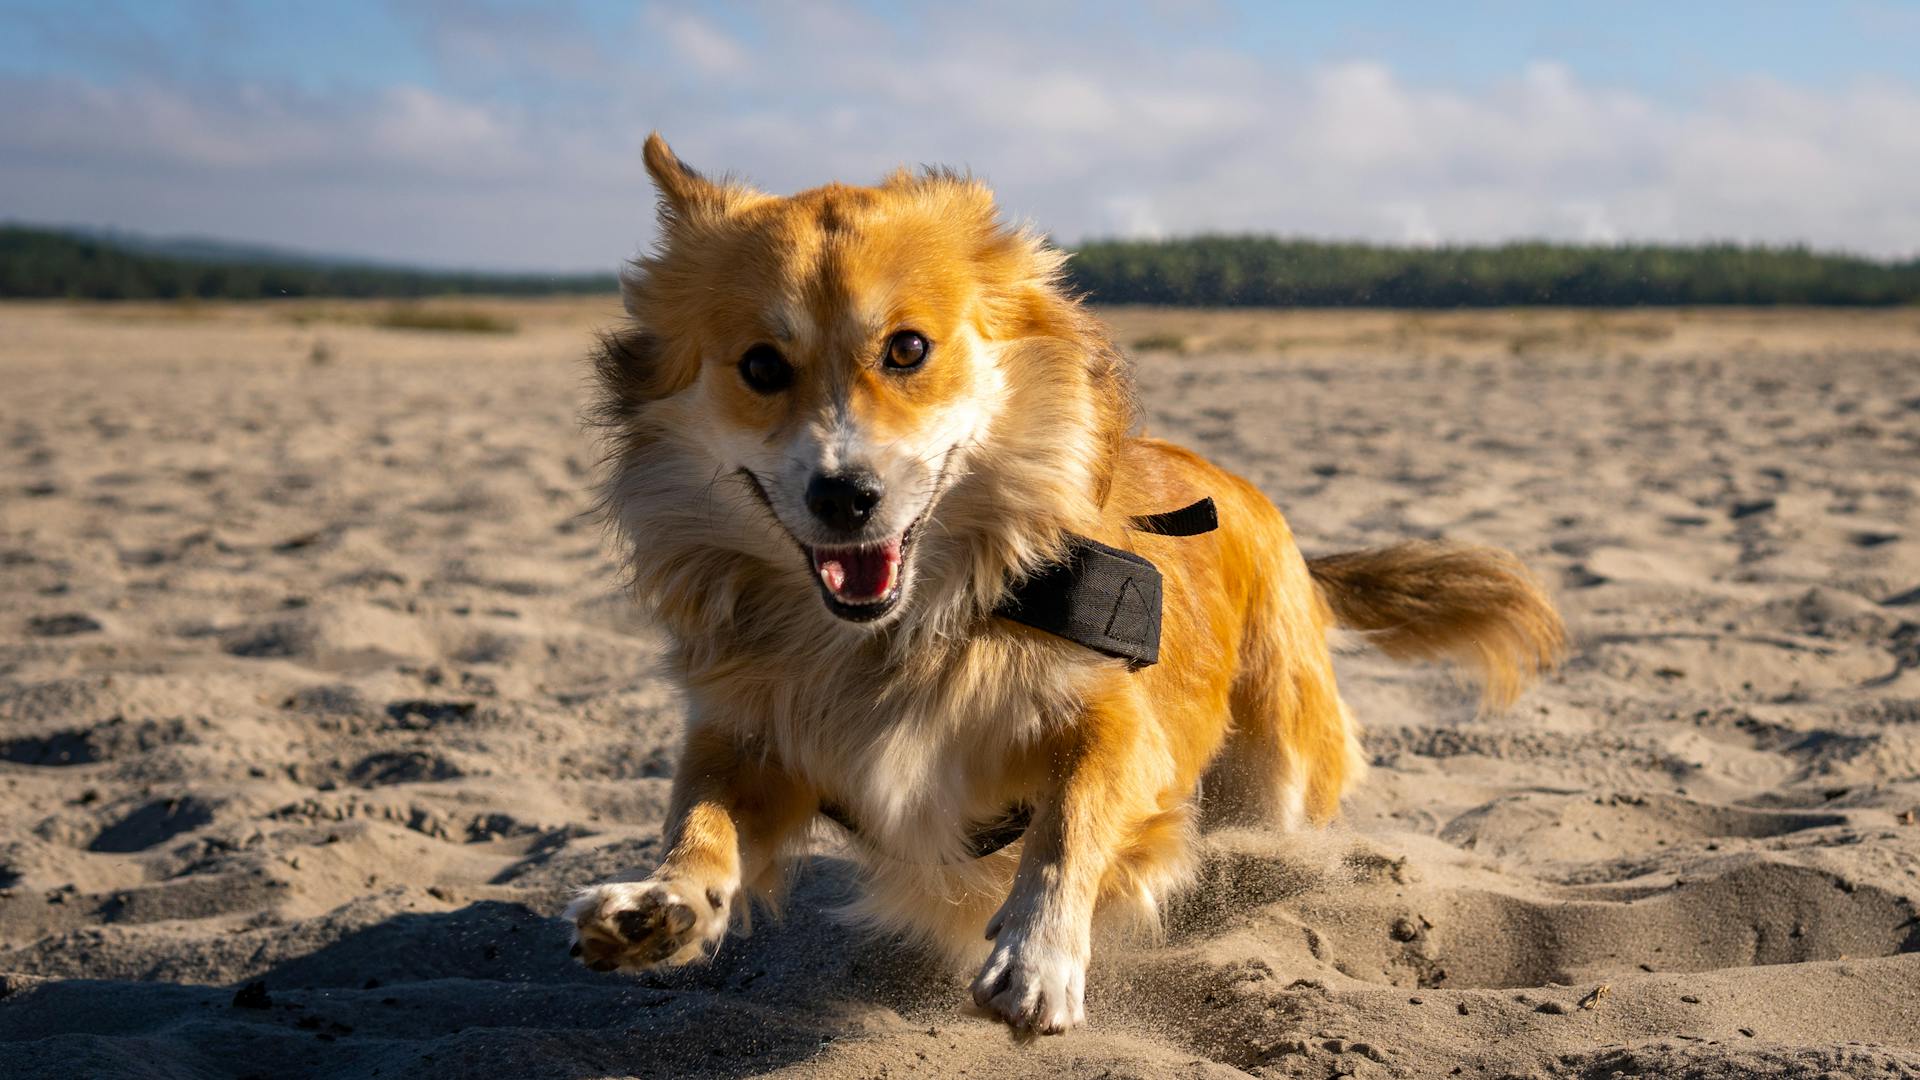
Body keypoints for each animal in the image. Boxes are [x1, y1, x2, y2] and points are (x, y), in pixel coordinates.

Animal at [564, 134, 1559, 1037]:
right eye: (761, 367)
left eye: (908, 349)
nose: (845, 496)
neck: (905, 626)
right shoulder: (752, 735)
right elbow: (701, 816)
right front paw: (665, 902)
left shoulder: (1117, 719)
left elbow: (1072, 816)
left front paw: (1038, 956)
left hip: (1278, 762)